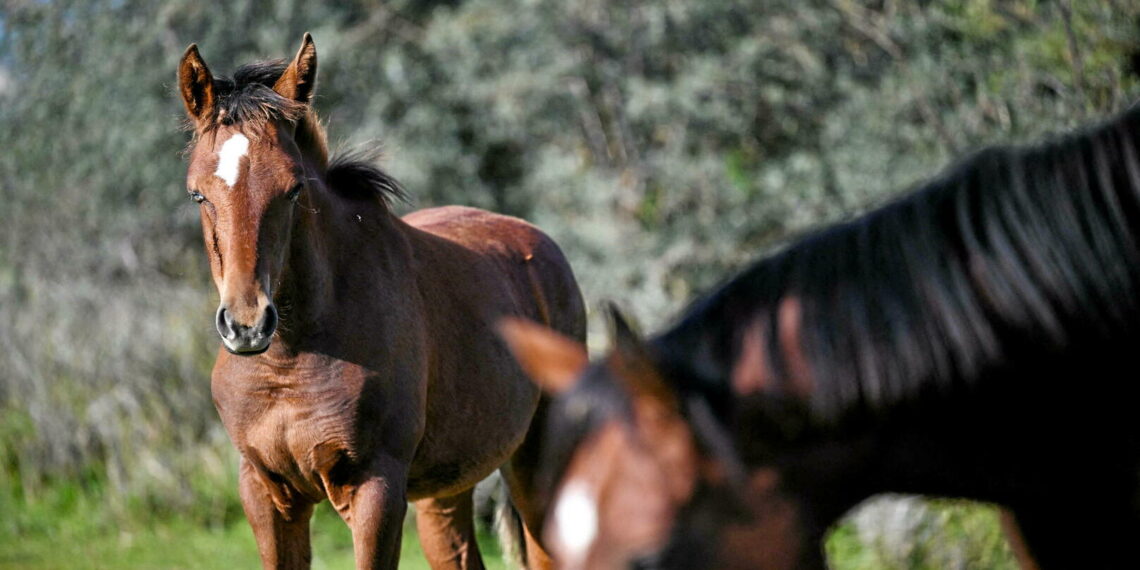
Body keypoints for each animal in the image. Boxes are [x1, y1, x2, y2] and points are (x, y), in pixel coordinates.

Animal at [177, 34, 586, 569]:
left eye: (294, 188)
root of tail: (544, 247)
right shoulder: (266, 493)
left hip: (536, 468)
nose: (246, 326)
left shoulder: (376, 489)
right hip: (445, 490)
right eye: (198, 194)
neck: (288, 363)